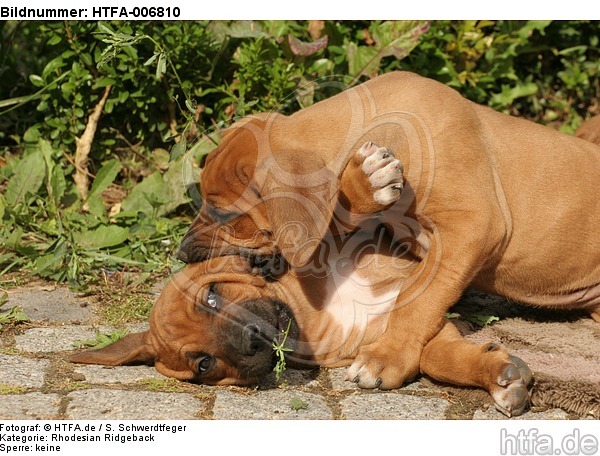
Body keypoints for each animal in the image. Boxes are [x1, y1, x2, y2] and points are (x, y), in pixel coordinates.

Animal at [175, 72, 600, 392]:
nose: (181, 252)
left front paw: (387, 356)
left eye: (223, 212)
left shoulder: (473, 225)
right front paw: (363, 185)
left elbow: (419, 297)